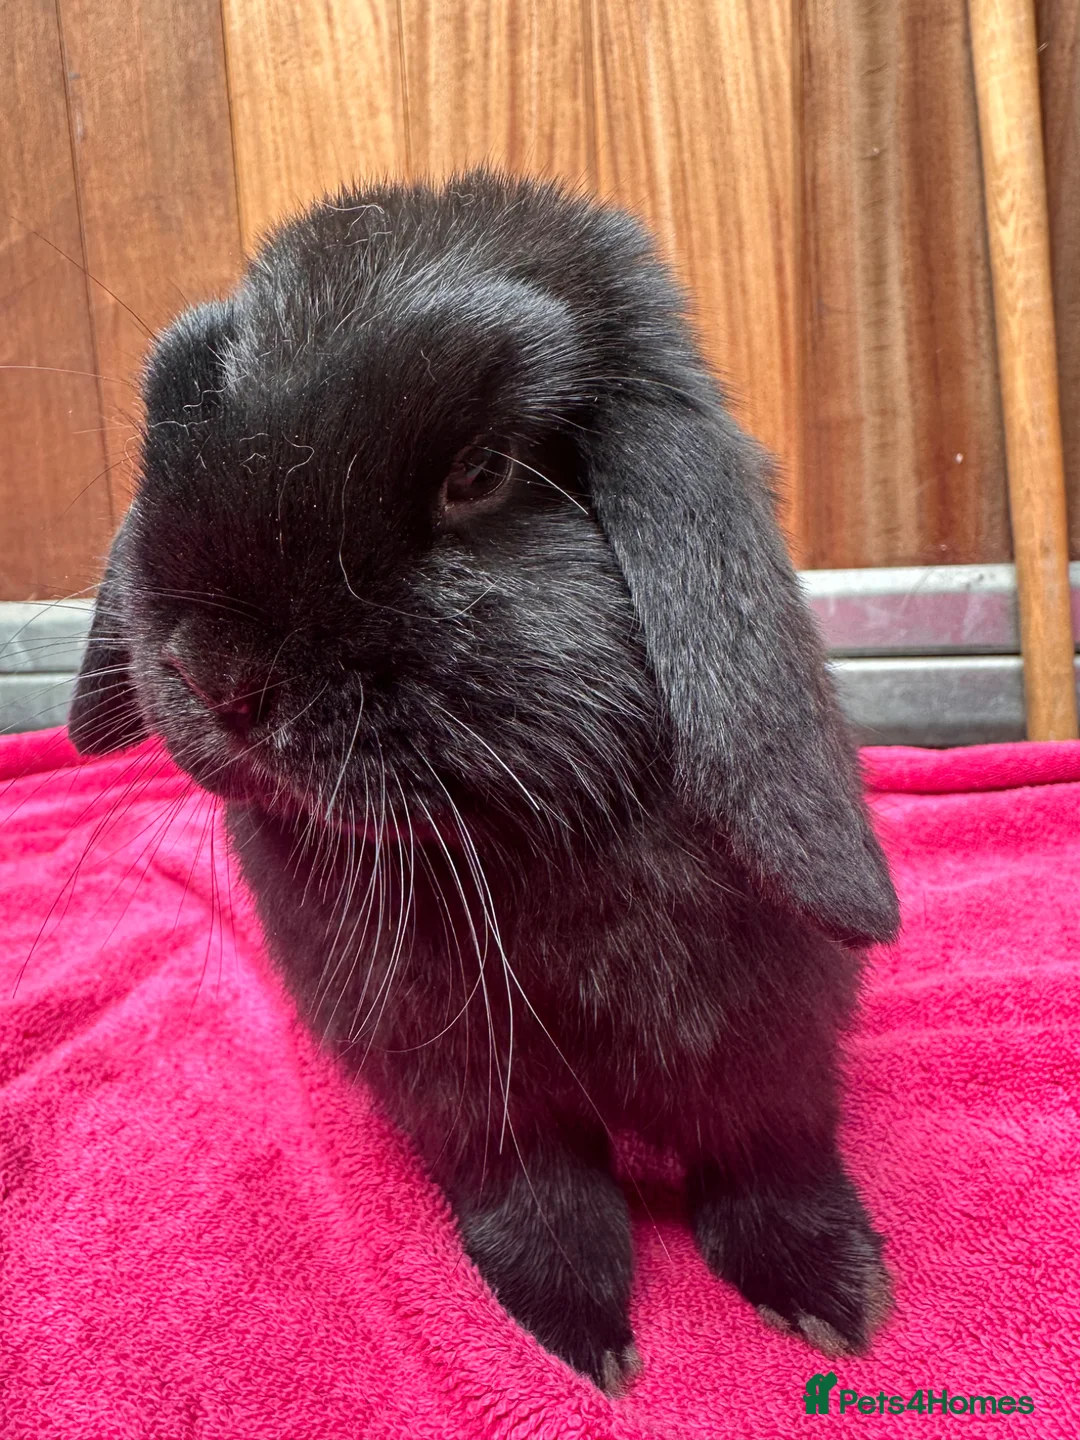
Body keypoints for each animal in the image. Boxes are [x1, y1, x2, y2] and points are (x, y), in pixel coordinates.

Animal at [68, 169, 900, 1393]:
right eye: (181, 415)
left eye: (481, 473)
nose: (214, 675)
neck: (502, 841)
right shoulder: (463, 1088)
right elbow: (539, 1197)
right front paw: (575, 1330)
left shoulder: (761, 1033)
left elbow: (764, 1153)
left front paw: (834, 1297)